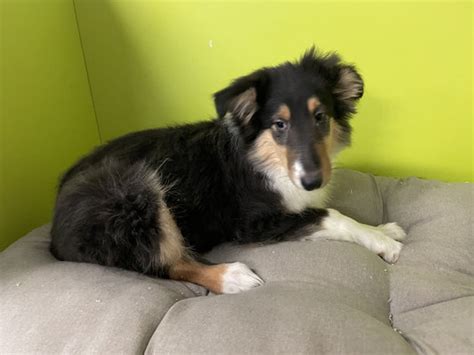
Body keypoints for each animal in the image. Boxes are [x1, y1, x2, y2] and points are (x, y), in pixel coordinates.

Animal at [52, 48, 408, 296]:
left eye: (320, 116)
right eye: (279, 124)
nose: (312, 181)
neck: (266, 162)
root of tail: (54, 232)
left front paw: (383, 228)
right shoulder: (253, 223)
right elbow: (331, 215)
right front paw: (381, 241)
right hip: (134, 192)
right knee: (164, 263)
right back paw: (231, 277)